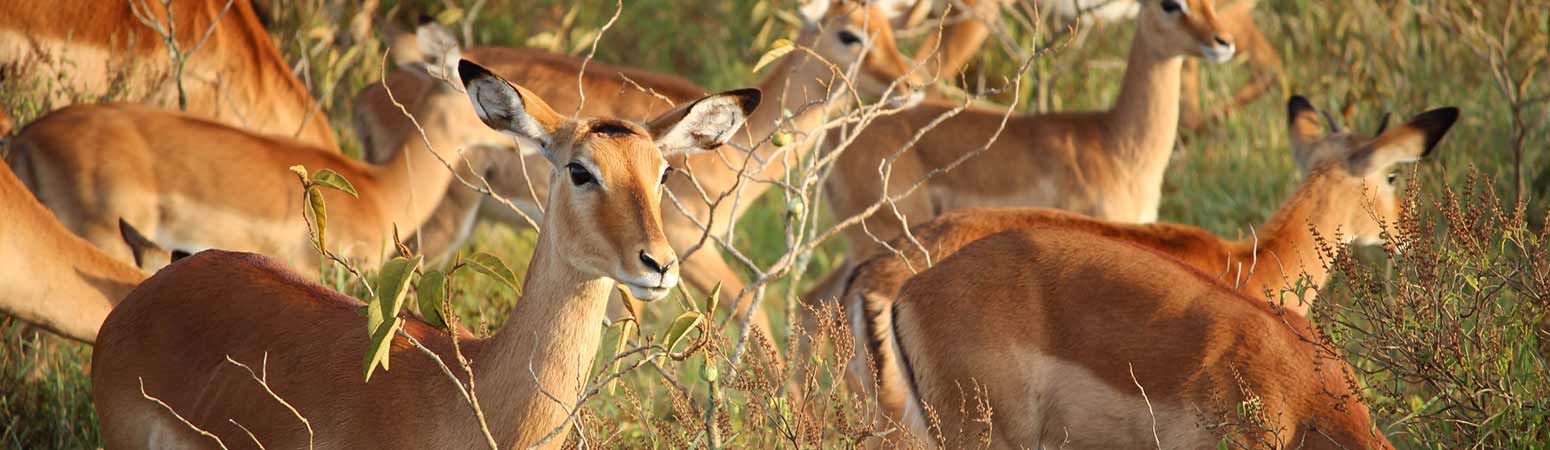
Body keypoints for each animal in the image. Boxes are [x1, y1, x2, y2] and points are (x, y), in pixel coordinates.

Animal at [356, 0, 923, 341]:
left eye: (888, 28)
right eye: (848, 34)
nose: (912, 83)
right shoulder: (687, 249)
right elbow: (750, 312)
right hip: (445, 216)